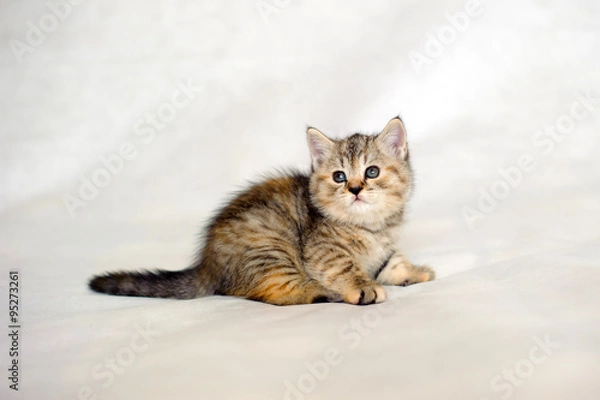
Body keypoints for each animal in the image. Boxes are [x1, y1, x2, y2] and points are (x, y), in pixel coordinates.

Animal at [89, 117, 434, 304]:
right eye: (339, 176)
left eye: (372, 172)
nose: (355, 188)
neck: (371, 226)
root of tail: (206, 265)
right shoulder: (322, 251)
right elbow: (346, 267)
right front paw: (363, 286)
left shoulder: (384, 249)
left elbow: (392, 261)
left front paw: (414, 271)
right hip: (271, 247)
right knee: (279, 291)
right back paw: (327, 293)